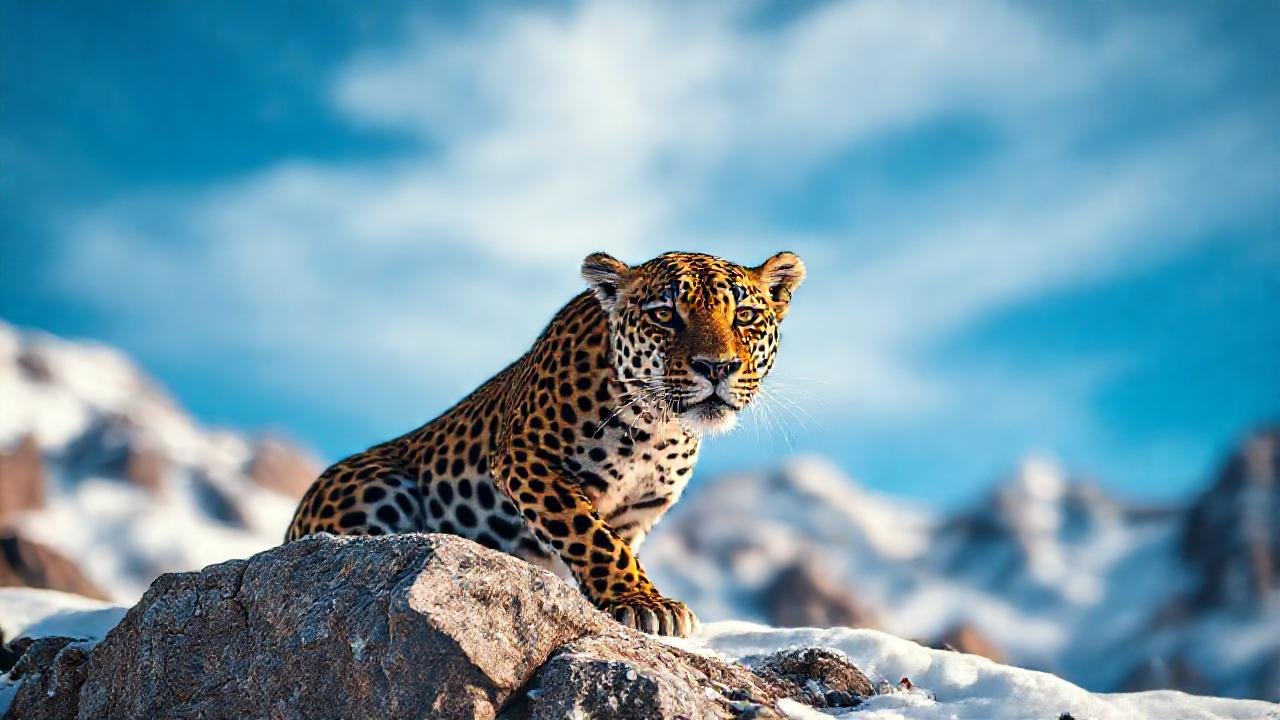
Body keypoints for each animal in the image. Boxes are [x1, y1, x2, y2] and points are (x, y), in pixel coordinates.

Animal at [285, 250, 806, 637]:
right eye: (664, 315)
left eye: (745, 316)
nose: (716, 367)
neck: (658, 428)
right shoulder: (527, 458)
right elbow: (591, 534)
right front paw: (642, 602)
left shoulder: (639, 508)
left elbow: (614, 542)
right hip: (373, 484)